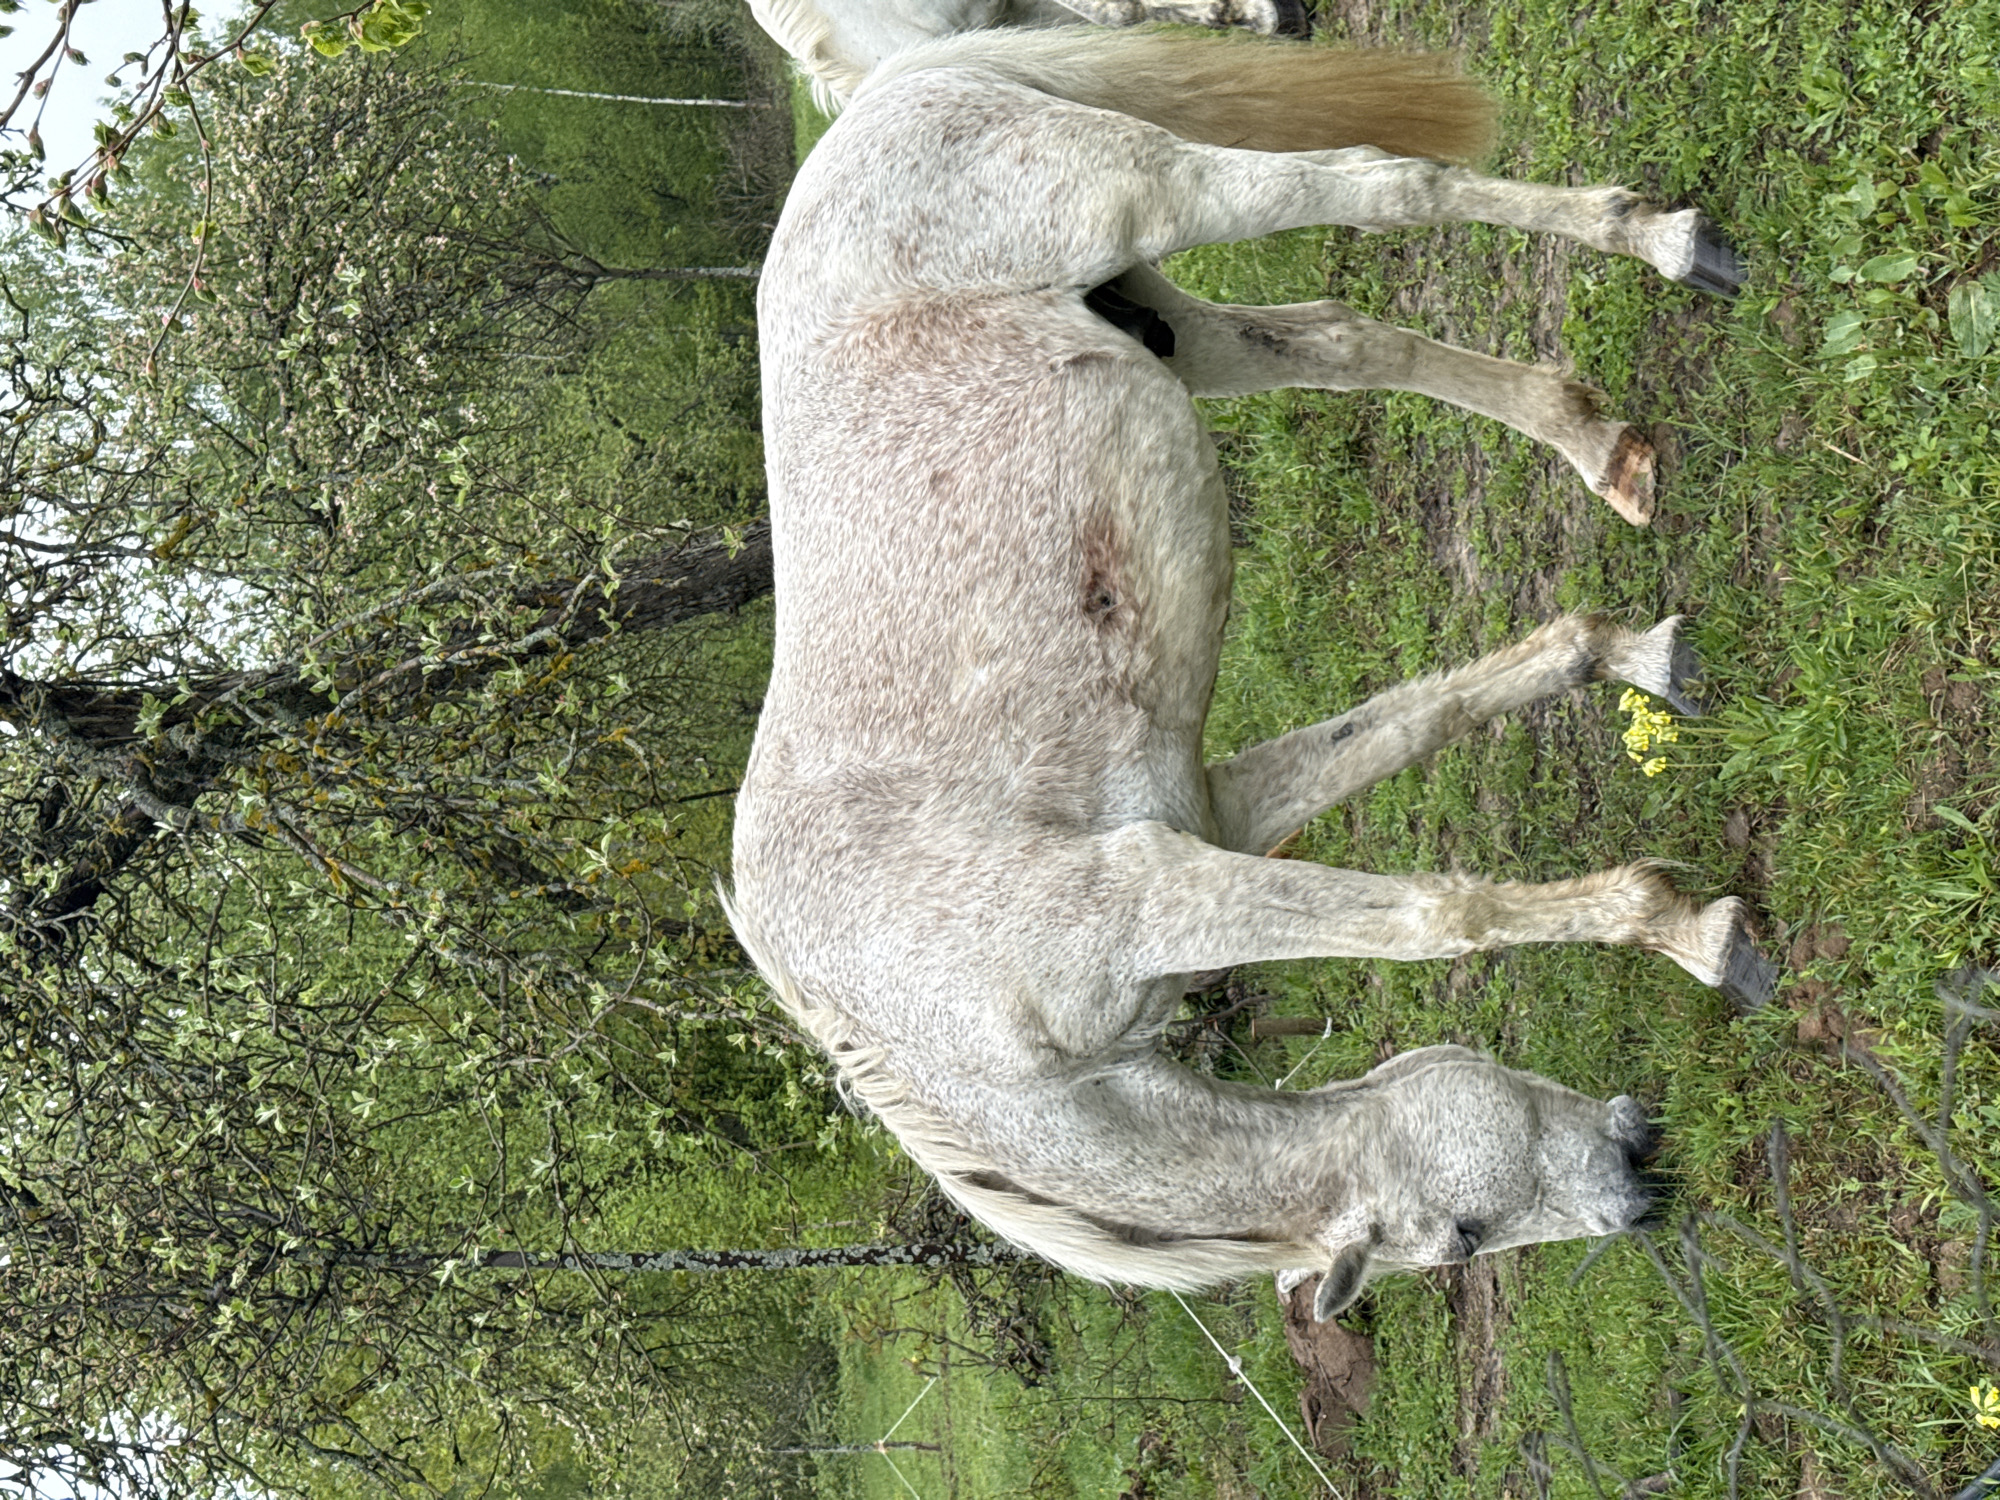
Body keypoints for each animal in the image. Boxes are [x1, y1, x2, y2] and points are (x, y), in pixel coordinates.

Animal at [726, 27, 1764, 1320]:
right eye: (1463, 1238)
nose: (1634, 1185)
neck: (952, 1034)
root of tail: (890, 92)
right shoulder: (1212, 819)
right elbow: (1416, 724)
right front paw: (1632, 666)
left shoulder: (1159, 890)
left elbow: (1437, 918)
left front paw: (1688, 932)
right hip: (1181, 324)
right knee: (1345, 340)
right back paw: (1596, 446)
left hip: (1153, 195)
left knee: (1382, 187)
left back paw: (1665, 245)